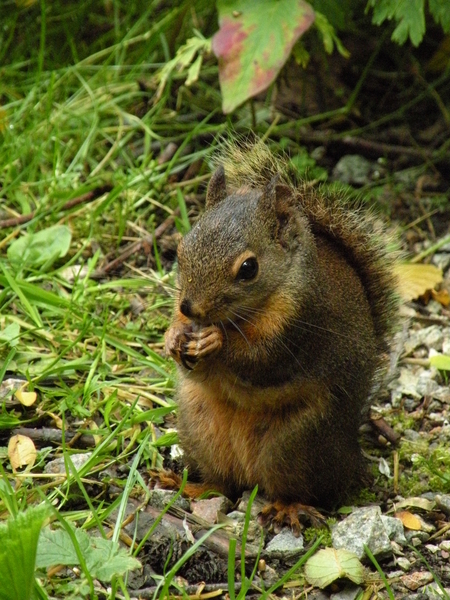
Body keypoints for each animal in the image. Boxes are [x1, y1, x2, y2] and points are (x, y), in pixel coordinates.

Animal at [163, 138, 398, 528]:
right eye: (181, 250)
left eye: (248, 268)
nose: (190, 309)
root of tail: (352, 457)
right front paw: (172, 336)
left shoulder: (300, 323)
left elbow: (261, 360)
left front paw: (216, 343)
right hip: (199, 426)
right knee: (223, 483)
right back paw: (193, 486)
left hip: (296, 444)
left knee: (298, 487)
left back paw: (288, 507)